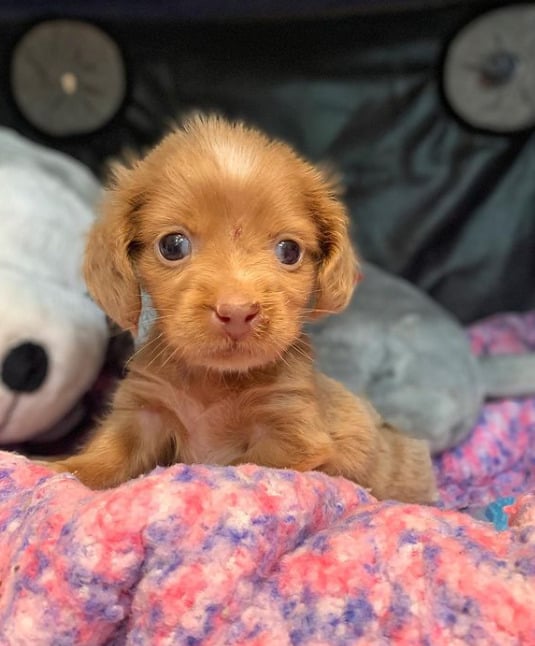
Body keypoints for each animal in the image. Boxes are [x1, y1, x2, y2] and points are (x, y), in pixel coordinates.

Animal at [46, 114, 438, 504]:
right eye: (173, 245)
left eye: (289, 251)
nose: (236, 312)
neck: (215, 381)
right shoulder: (146, 412)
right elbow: (108, 454)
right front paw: (61, 469)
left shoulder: (289, 434)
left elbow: (237, 466)